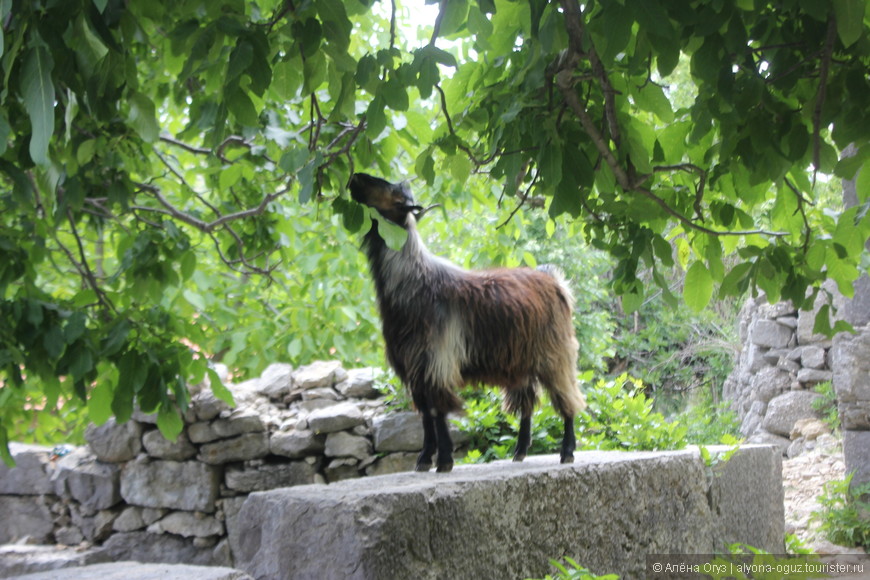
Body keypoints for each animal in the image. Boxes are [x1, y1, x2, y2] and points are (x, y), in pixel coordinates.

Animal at [348, 172, 584, 472]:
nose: (355, 177)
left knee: (568, 399)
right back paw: (520, 451)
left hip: (556, 354)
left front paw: (444, 461)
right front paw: (425, 459)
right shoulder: (415, 366)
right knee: (527, 404)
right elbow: (425, 413)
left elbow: (437, 410)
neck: (415, 280)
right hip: (521, 361)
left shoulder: (436, 360)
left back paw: (567, 451)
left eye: (388, 188)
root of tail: (554, 280)